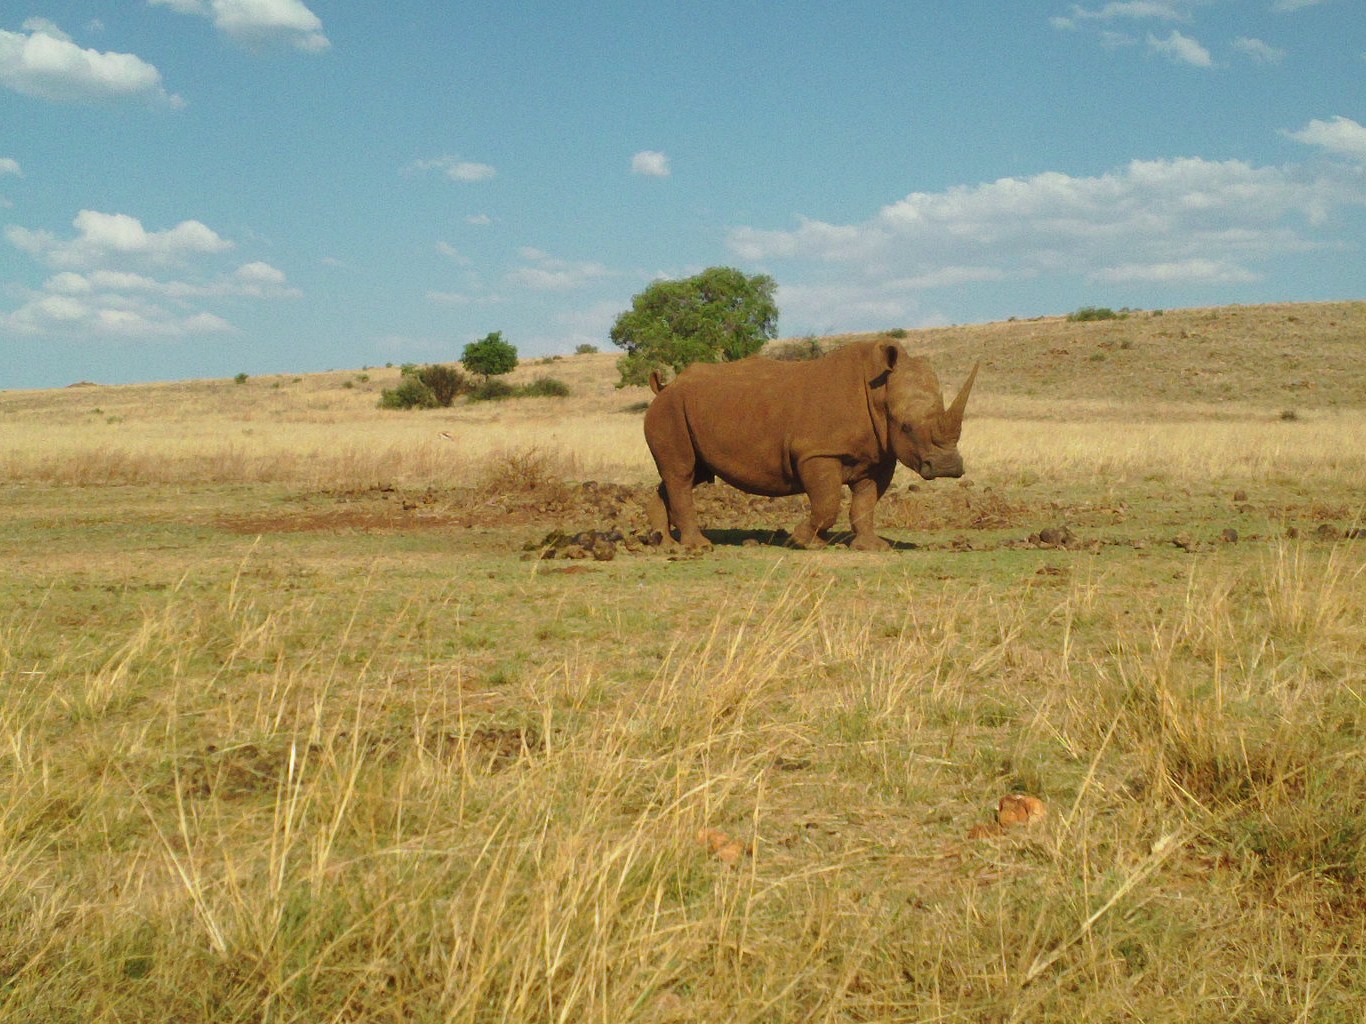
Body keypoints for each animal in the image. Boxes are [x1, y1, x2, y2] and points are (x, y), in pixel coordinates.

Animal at [644, 342, 978, 554]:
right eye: (906, 427)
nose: (948, 467)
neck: (880, 392)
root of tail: (663, 389)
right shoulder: (817, 452)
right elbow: (828, 502)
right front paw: (803, 542)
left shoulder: (879, 456)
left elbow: (865, 503)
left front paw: (872, 548)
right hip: (670, 409)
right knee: (682, 474)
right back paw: (698, 547)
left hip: (689, 409)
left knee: (689, 475)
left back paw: (664, 544)